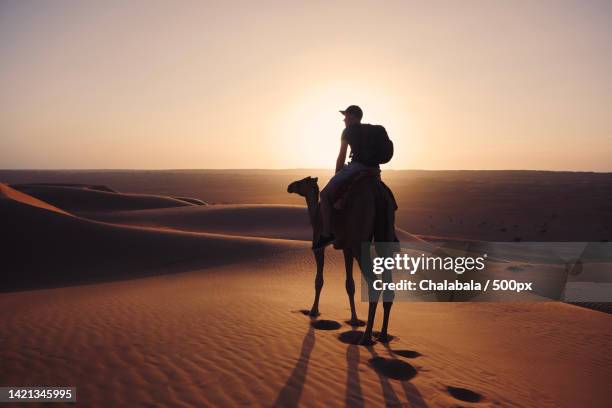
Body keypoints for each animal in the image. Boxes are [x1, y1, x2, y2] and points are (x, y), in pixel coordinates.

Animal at [286, 174, 396, 346]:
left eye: (301, 182)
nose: (289, 186)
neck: (316, 215)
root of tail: (378, 193)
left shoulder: (318, 245)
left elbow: (319, 280)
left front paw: (313, 310)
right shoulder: (346, 248)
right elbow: (350, 284)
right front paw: (354, 320)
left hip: (359, 242)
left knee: (374, 284)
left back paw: (366, 337)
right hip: (385, 235)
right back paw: (383, 335)